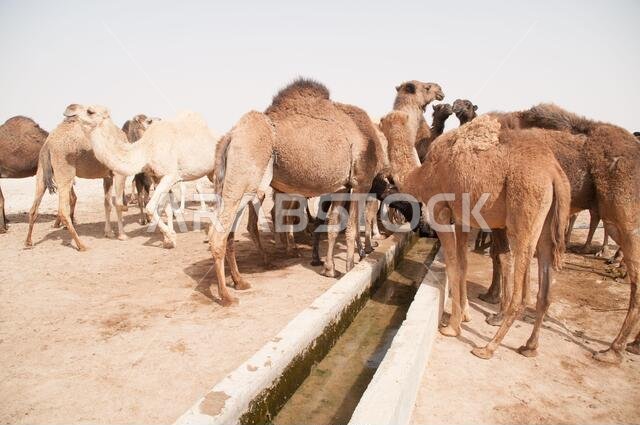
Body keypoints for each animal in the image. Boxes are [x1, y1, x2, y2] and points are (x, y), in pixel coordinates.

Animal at [25, 105, 127, 250]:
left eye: (90, 111)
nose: (70, 110)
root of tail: (48, 143)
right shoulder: (119, 173)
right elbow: (118, 203)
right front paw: (122, 235)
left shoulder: (107, 176)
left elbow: (107, 203)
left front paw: (109, 233)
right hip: (64, 169)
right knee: (63, 209)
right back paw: (81, 245)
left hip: (42, 171)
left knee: (34, 207)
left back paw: (28, 242)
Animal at [208, 78, 391, 305]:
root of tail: (230, 136)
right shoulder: (360, 183)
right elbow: (352, 228)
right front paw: (350, 267)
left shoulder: (341, 188)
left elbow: (332, 228)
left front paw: (330, 269)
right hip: (245, 177)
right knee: (219, 233)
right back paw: (226, 296)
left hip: (238, 184)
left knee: (230, 231)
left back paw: (240, 281)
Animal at [380, 81, 571, 359]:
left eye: (384, 122)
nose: (440, 90)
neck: (421, 173)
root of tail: (554, 172)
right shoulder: (461, 219)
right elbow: (463, 264)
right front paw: (464, 317)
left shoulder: (440, 212)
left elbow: (453, 265)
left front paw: (452, 327)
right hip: (546, 222)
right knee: (545, 288)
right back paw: (529, 347)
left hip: (525, 208)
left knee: (520, 284)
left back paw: (488, 347)